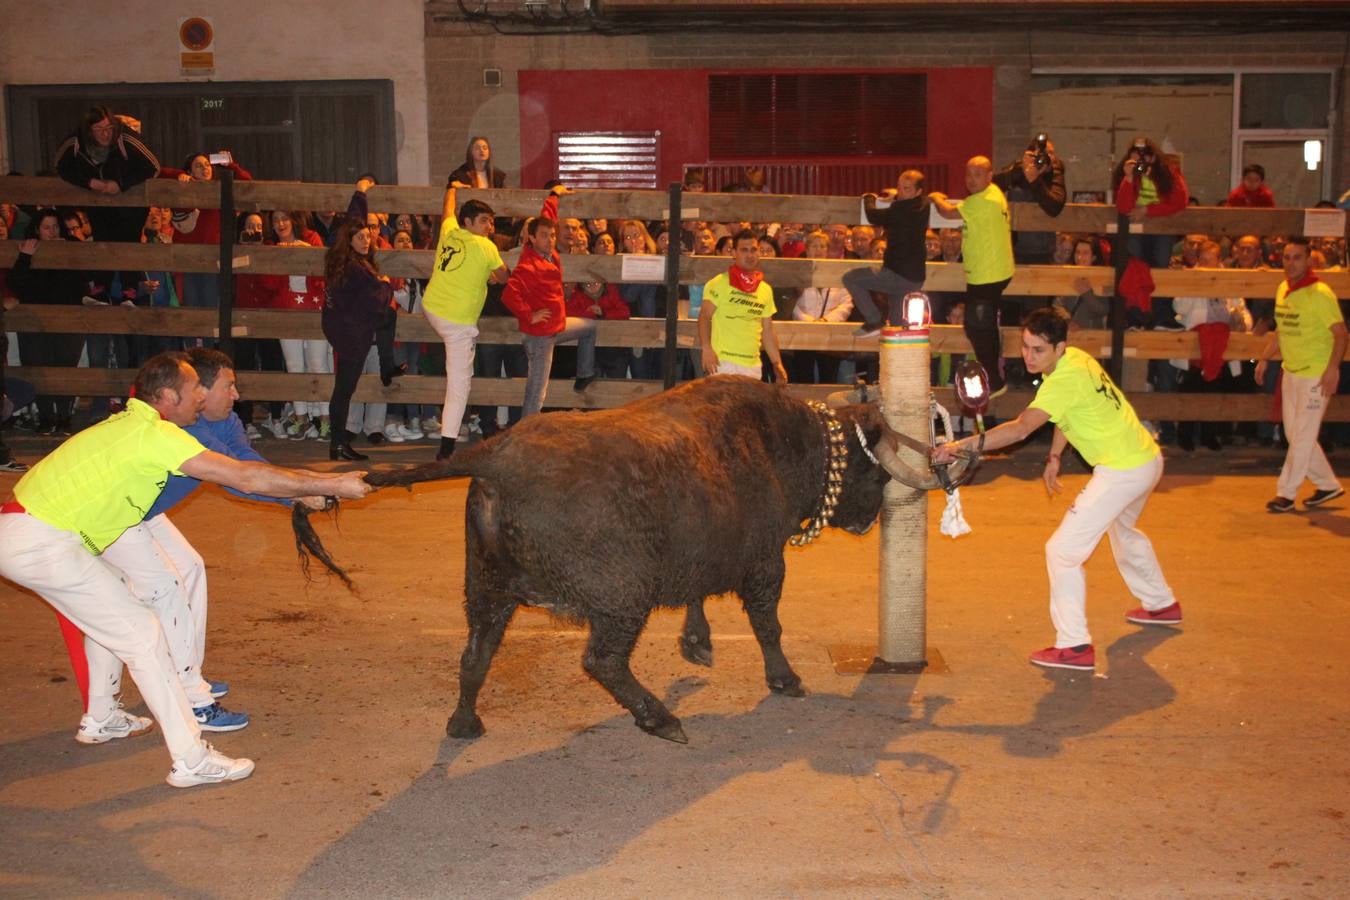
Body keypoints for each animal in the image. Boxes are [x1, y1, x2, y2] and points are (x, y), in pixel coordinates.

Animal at [297, 377, 961, 744]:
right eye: (872, 471)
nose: (869, 518)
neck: (778, 442)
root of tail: (493, 458)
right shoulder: (764, 566)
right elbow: (768, 626)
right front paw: (786, 679)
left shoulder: (702, 556)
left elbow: (698, 599)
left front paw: (698, 643)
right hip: (620, 600)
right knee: (602, 660)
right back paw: (660, 718)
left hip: (487, 590)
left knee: (474, 654)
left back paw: (464, 722)